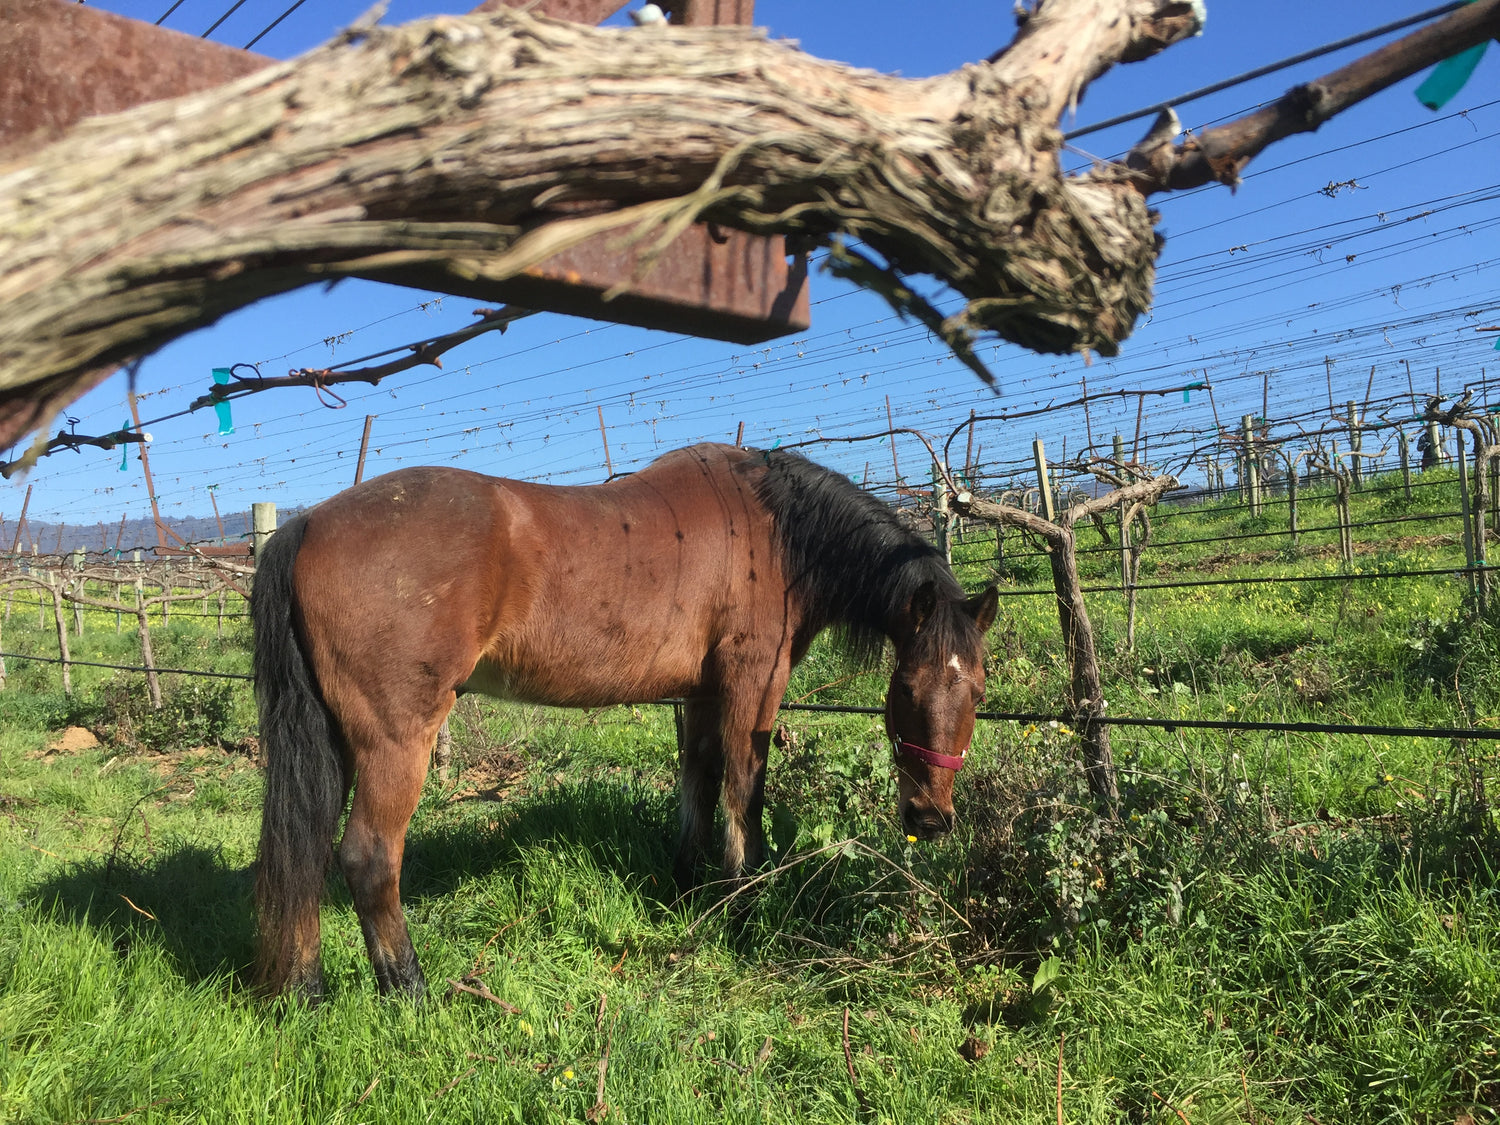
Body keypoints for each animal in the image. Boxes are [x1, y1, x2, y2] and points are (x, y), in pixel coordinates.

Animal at [252, 444, 1002, 1002]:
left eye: (979, 689)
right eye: (907, 685)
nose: (932, 817)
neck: (778, 531)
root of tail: (307, 525)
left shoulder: (703, 694)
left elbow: (698, 785)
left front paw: (687, 887)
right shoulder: (751, 686)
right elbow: (744, 793)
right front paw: (744, 903)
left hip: (335, 739)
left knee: (308, 852)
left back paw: (308, 990)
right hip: (395, 740)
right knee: (368, 855)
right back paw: (409, 988)